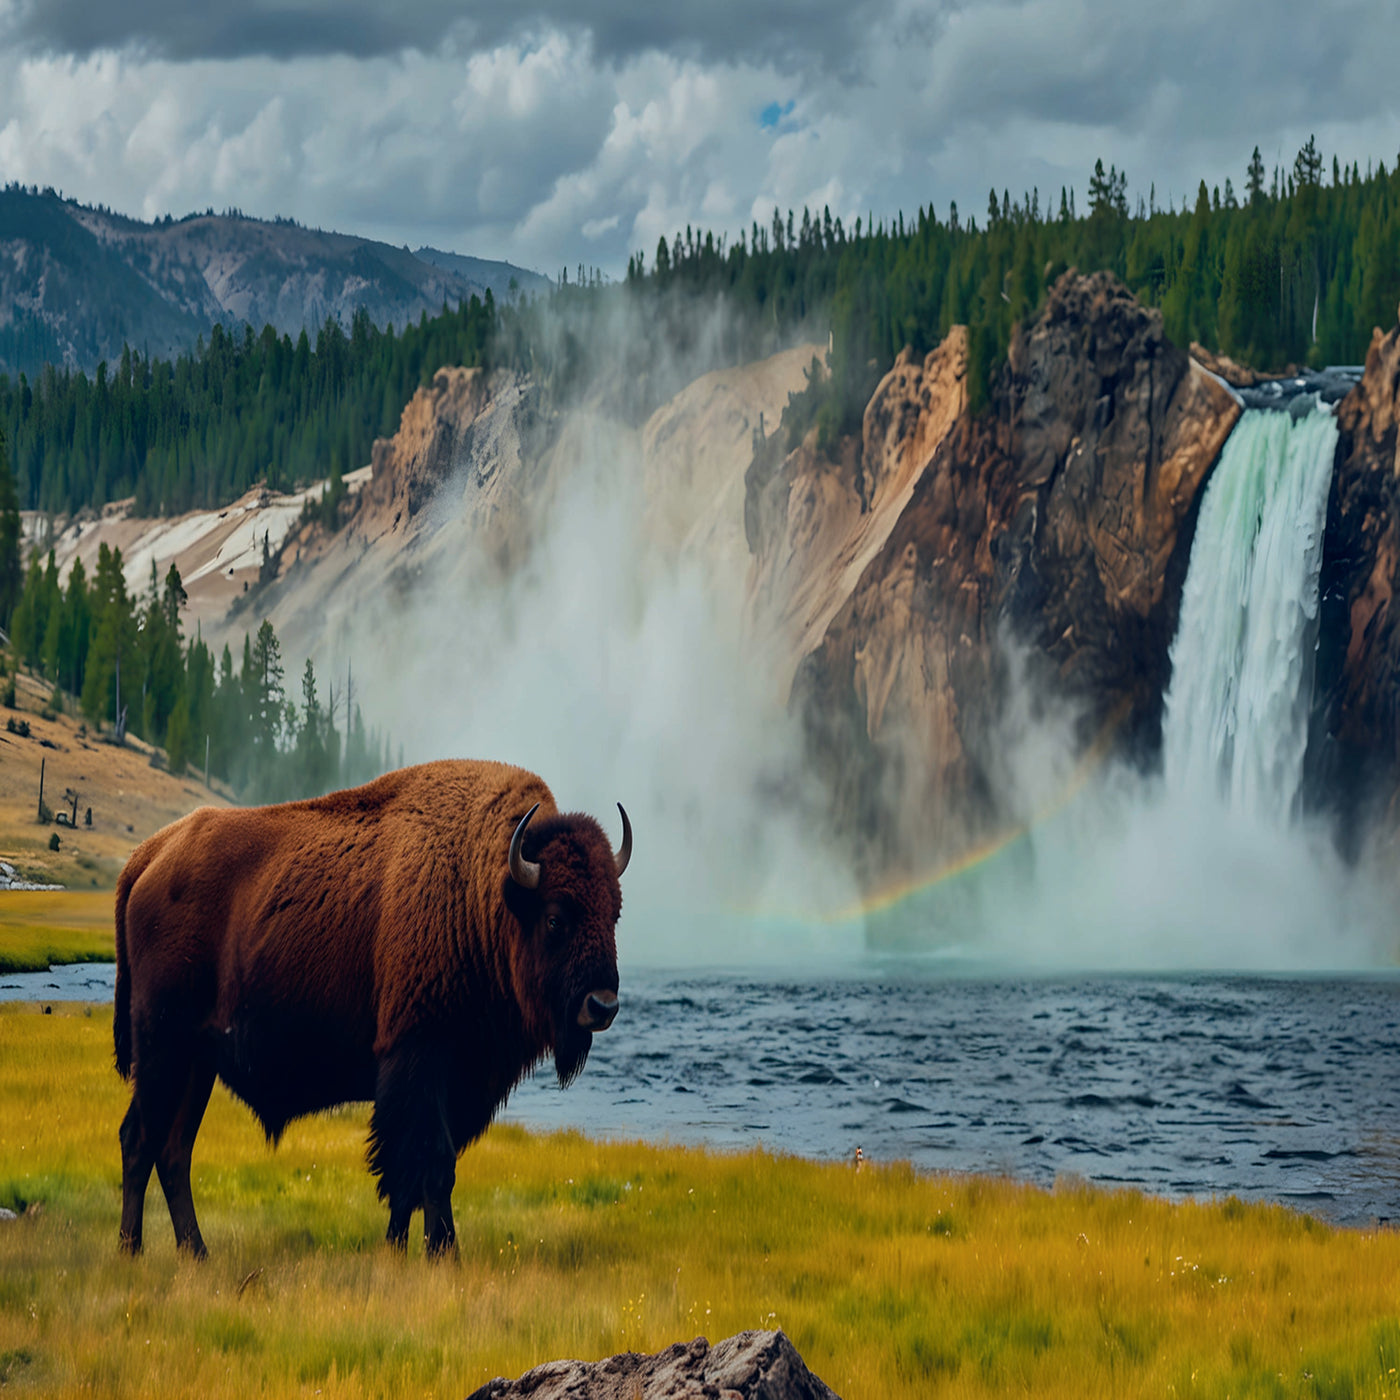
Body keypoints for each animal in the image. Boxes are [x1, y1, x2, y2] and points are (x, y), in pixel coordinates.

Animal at [114, 759, 630, 1258]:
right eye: (556, 917)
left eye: (614, 914)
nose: (602, 1005)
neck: (481, 895)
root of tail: (147, 857)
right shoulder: (419, 1063)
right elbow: (430, 1167)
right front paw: (444, 1255)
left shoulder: (461, 1081)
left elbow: (408, 1181)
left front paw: (398, 1249)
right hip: (163, 1047)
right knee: (140, 1139)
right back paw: (132, 1249)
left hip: (196, 1064)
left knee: (172, 1150)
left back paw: (195, 1251)